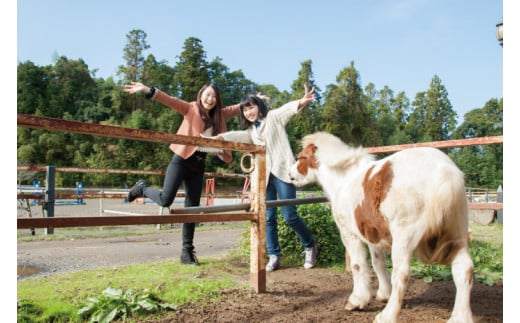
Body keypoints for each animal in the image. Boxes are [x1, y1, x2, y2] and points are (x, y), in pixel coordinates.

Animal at [288, 132, 476, 323]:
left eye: (301, 157)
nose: (290, 174)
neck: (344, 180)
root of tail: (445, 173)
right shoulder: (372, 234)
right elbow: (378, 263)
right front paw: (383, 294)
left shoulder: (349, 234)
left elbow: (358, 265)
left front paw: (357, 300)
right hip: (456, 234)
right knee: (464, 269)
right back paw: (459, 317)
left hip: (405, 236)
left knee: (401, 273)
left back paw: (387, 315)